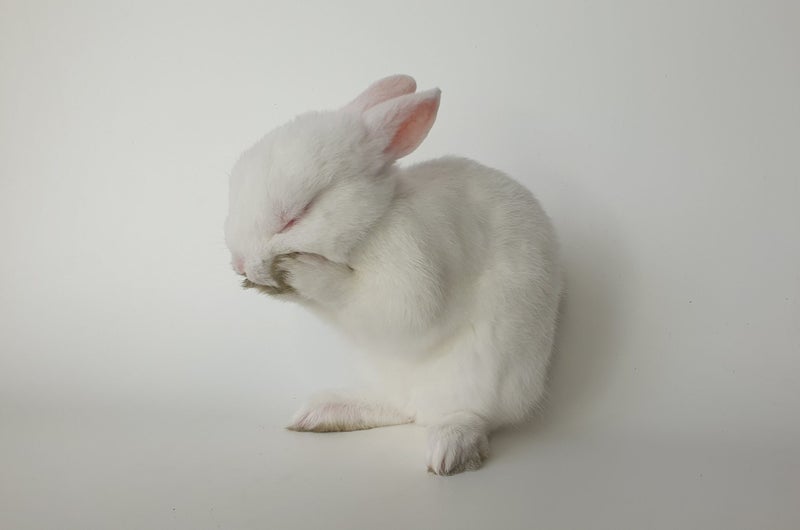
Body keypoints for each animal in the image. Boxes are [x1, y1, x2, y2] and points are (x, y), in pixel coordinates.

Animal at [225, 75, 563, 475]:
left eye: (297, 215)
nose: (239, 263)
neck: (375, 221)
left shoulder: (412, 260)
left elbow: (392, 307)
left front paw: (298, 270)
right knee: (399, 407)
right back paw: (324, 413)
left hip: (483, 378)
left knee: (472, 416)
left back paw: (450, 449)